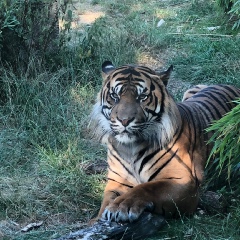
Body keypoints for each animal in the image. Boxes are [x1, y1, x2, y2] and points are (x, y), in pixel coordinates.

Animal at [90, 61, 240, 223]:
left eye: (142, 97)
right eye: (114, 96)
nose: (124, 120)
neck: (130, 148)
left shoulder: (183, 181)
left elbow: (147, 188)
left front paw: (120, 206)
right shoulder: (117, 181)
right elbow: (106, 202)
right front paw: (97, 220)